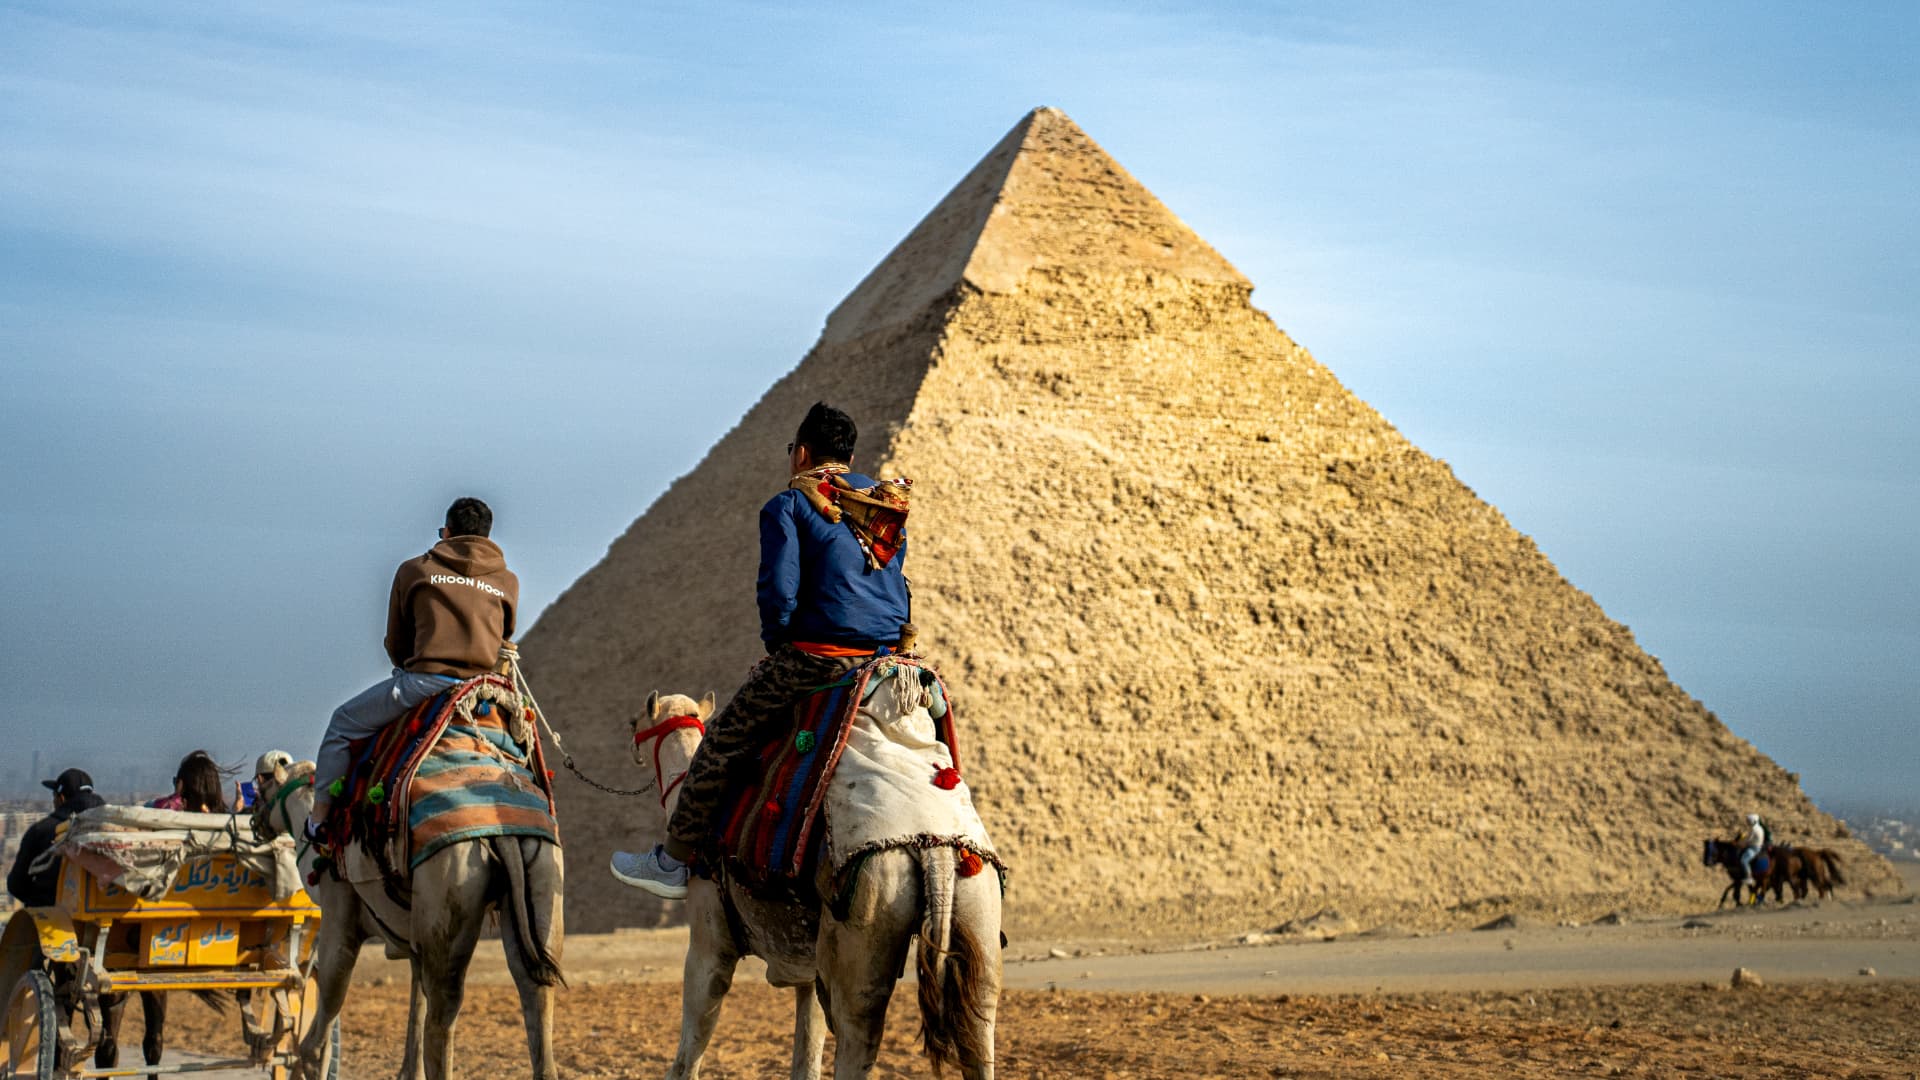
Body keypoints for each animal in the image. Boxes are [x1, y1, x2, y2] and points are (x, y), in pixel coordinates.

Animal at [254, 755, 564, 1080]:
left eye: (264, 788)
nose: (255, 819)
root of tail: (501, 833)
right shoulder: (415, 944)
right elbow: (416, 1013)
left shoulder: (339, 914)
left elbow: (317, 1040)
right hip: (539, 870)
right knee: (533, 988)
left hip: (450, 879)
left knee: (444, 1007)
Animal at [629, 671, 1001, 1080]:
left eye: (636, 722)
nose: (631, 738)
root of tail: (934, 848)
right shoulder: (807, 969)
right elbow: (806, 1055)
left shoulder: (710, 946)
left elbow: (690, 1051)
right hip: (975, 909)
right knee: (978, 1024)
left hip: (865, 921)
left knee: (857, 1028)